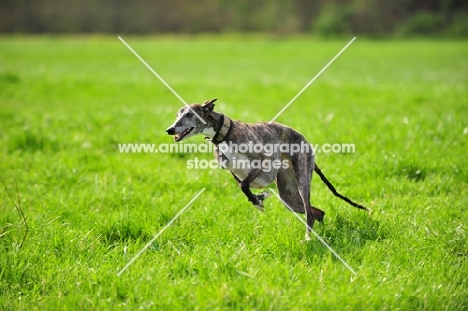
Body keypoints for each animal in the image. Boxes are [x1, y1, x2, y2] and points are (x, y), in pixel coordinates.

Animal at [165, 98, 370, 240]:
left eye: (189, 114)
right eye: (177, 115)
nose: (170, 129)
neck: (225, 134)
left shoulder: (266, 160)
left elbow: (245, 185)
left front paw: (258, 200)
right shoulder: (233, 172)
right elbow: (244, 185)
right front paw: (259, 198)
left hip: (302, 181)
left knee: (310, 214)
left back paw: (307, 238)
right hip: (289, 197)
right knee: (316, 212)